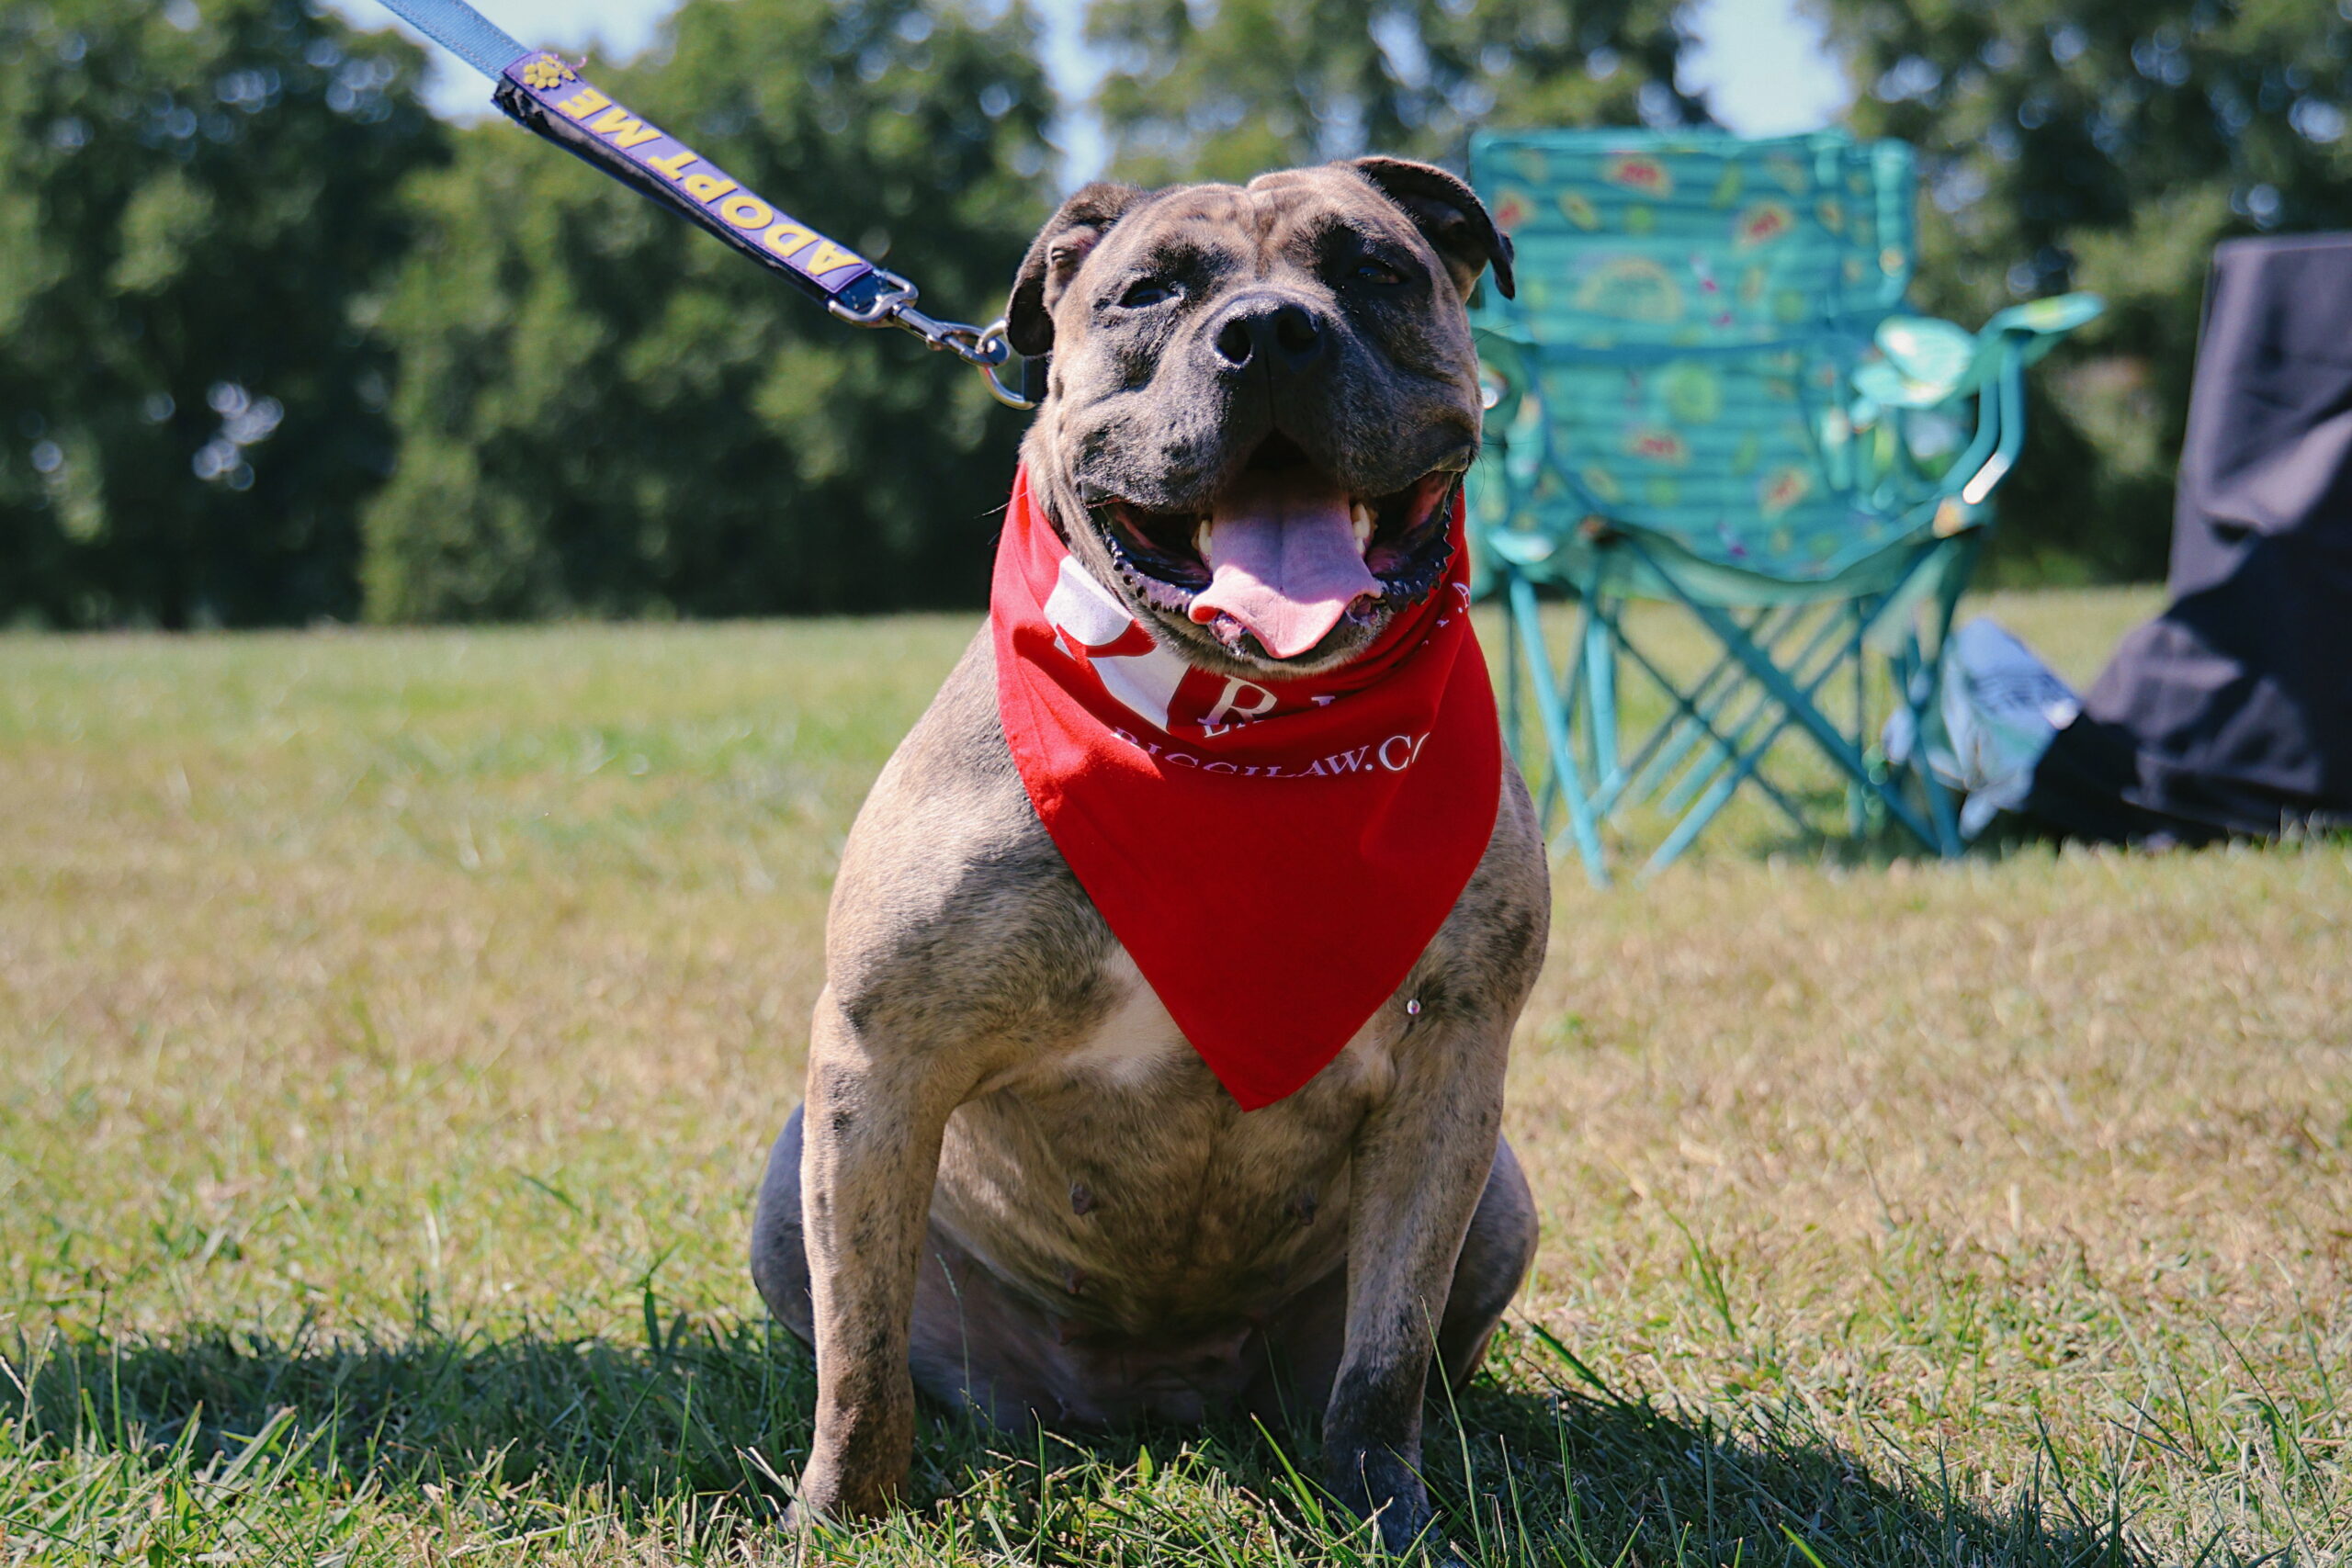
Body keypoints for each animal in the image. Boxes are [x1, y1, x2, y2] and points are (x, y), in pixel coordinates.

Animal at [750, 156, 1549, 1555]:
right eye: (1146, 293)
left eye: (1375, 270)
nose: (1270, 330)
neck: (1236, 736)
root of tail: (1155, 1398)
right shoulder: (878, 1060)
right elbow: (859, 1359)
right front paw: (836, 1516)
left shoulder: (1453, 1066)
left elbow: (1384, 1360)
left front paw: (1388, 1512)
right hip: (789, 1181)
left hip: (1499, 1191)